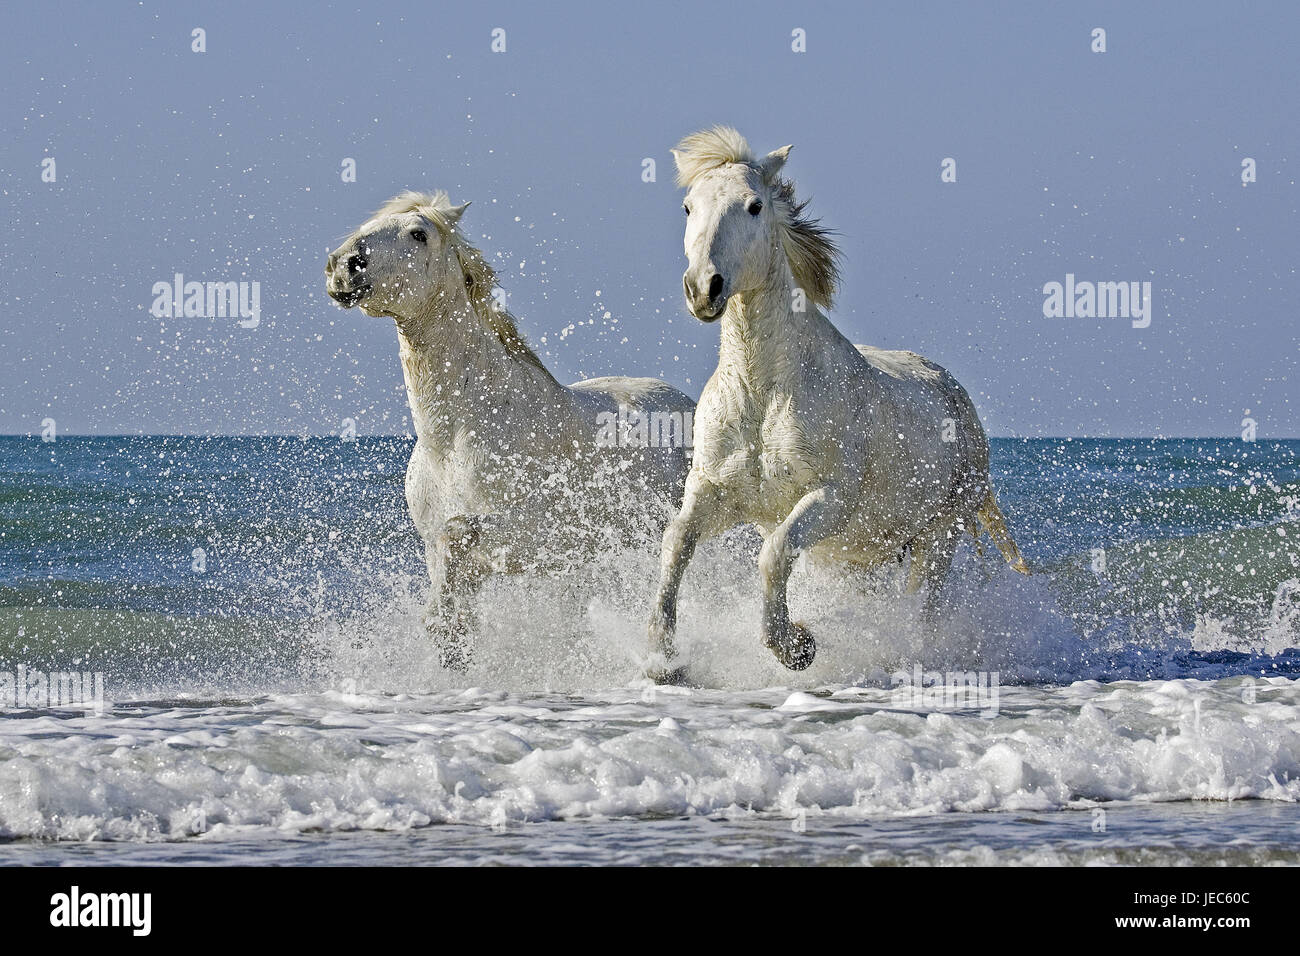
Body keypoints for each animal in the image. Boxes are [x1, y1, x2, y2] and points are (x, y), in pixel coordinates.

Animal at [325, 191, 696, 671]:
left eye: (418, 233)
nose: (342, 265)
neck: (454, 437)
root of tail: (687, 401)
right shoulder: (442, 550)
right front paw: (450, 643)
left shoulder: (527, 538)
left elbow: (457, 534)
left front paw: (439, 623)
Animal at [647, 128, 1024, 681]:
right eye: (689, 207)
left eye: (754, 205)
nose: (703, 288)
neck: (763, 393)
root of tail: (955, 393)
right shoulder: (715, 492)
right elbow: (675, 544)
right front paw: (662, 656)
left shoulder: (827, 501)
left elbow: (774, 554)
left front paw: (797, 647)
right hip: (858, 556)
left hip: (937, 538)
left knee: (922, 609)